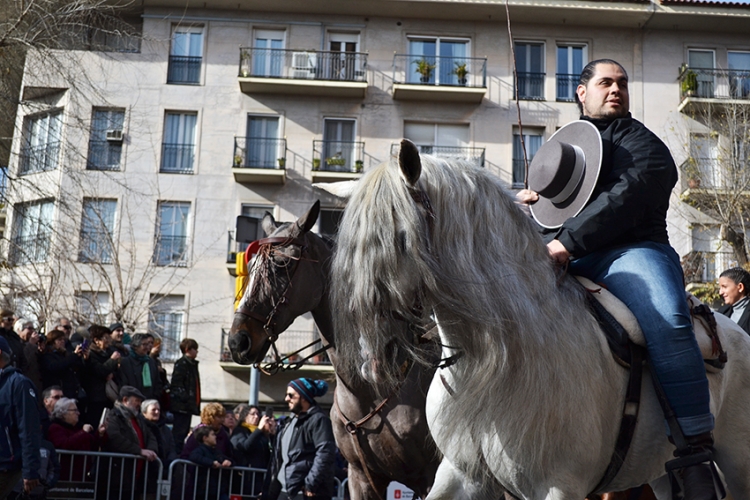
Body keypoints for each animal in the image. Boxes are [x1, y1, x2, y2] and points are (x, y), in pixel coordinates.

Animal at [228, 201, 440, 498]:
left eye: (282, 264)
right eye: (252, 264)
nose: (238, 341)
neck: (373, 387)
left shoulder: (432, 476)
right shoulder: (360, 476)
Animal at [320, 141, 750, 500]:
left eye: (402, 238)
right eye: (345, 246)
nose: (373, 361)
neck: (503, 360)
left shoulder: (558, 486)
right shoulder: (459, 476)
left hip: (735, 465)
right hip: (657, 471)